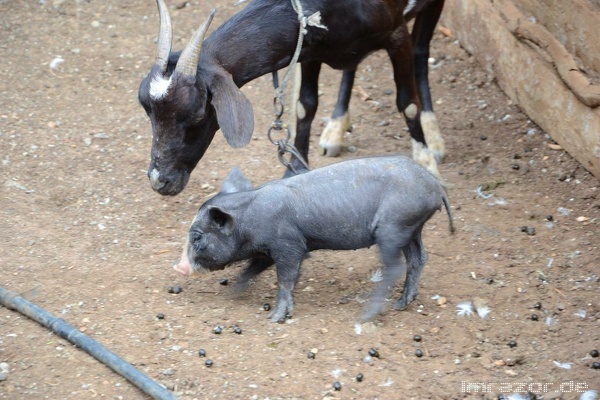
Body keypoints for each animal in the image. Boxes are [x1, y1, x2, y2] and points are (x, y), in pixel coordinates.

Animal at [138, 0, 442, 195]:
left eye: (200, 112)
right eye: (148, 110)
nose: (159, 181)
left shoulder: (396, 34)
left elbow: (407, 103)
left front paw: (427, 165)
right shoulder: (310, 47)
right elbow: (304, 106)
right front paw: (293, 171)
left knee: (422, 50)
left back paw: (433, 132)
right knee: (351, 66)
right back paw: (336, 128)